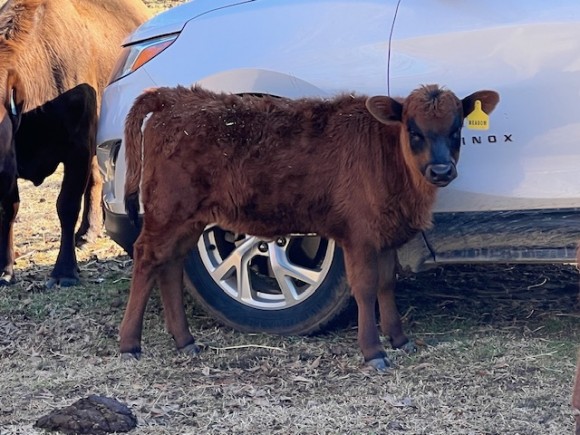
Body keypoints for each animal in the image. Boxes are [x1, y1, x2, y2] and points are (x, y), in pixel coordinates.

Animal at [120, 84, 496, 368]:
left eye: (456, 130)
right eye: (414, 131)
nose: (441, 170)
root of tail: (174, 98)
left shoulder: (386, 233)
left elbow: (387, 284)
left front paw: (400, 338)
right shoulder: (359, 235)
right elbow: (366, 287)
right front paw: (373, 351)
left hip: (189, 218)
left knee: (171, 264)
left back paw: (185, 340)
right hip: (168, 209)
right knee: (147, 257)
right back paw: (129, 343)